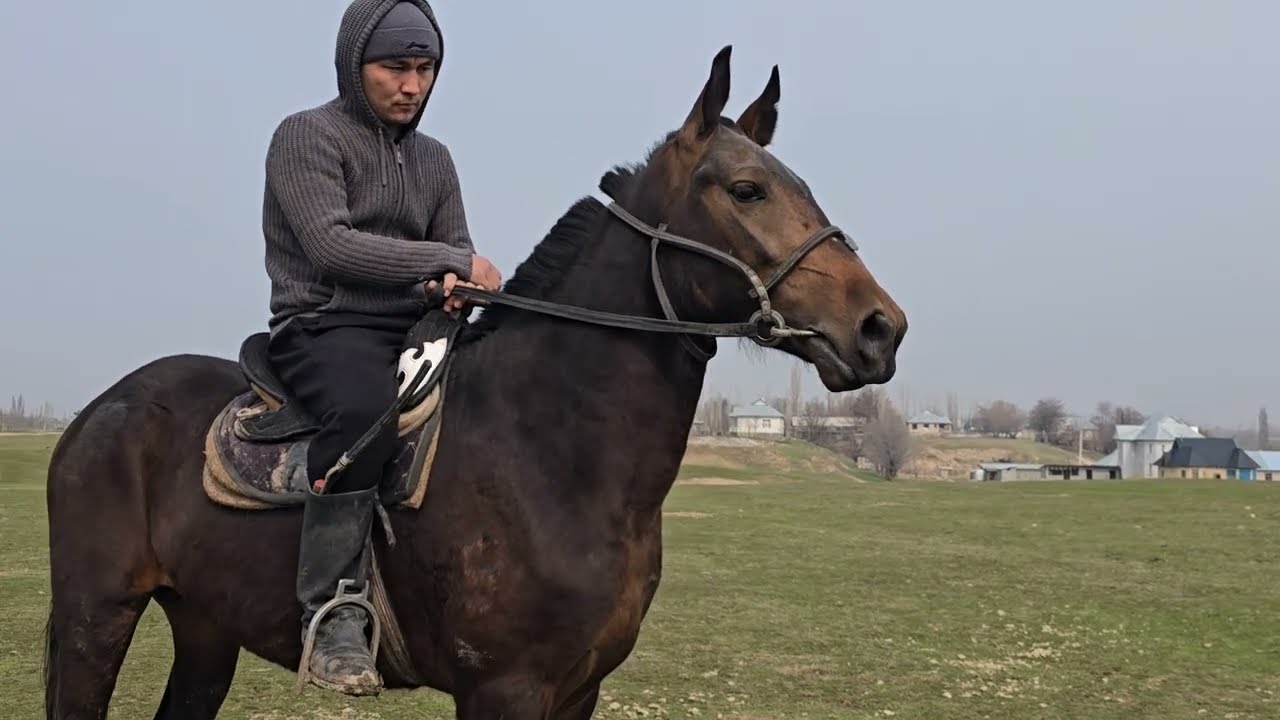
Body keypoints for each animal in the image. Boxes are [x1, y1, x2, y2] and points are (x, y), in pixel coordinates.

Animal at [42, 45, 906, 719]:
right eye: (746, 190)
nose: (879, 328)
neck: (547, 450)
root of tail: (101, 411)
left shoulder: (577, 690)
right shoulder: (505, 690)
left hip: (205, 628)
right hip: (96, 618)